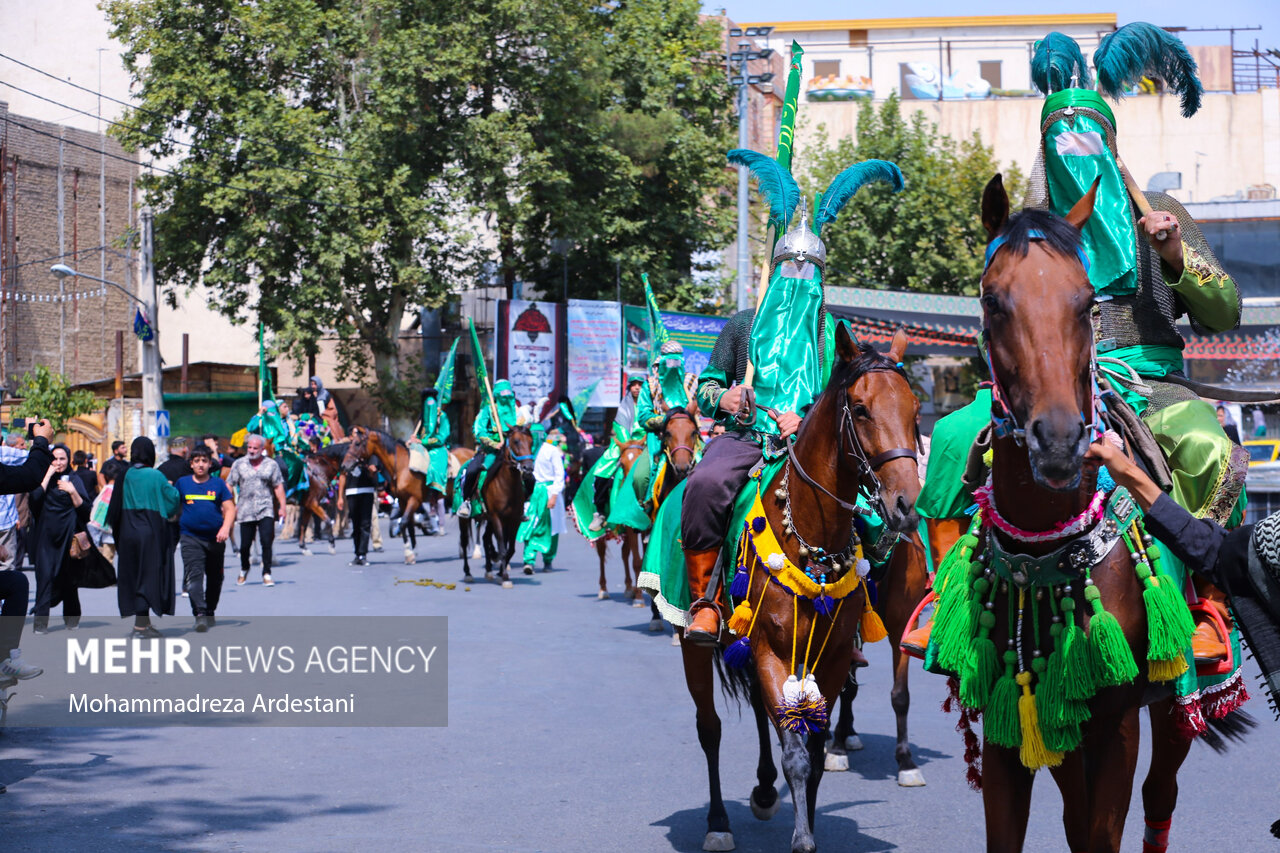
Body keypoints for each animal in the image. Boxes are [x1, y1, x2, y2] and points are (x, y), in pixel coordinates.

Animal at [680, 324, 921, 850]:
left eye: (916, 410)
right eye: (861, 408)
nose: (905, 506)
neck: (812, 533)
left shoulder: (830, 656)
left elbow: (811, 751)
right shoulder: (770, 649)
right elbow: (795, 752)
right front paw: (802, 839)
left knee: (761, 712)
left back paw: (765, 790)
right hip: (696, 641)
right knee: (710, 729)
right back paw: (718, 823)